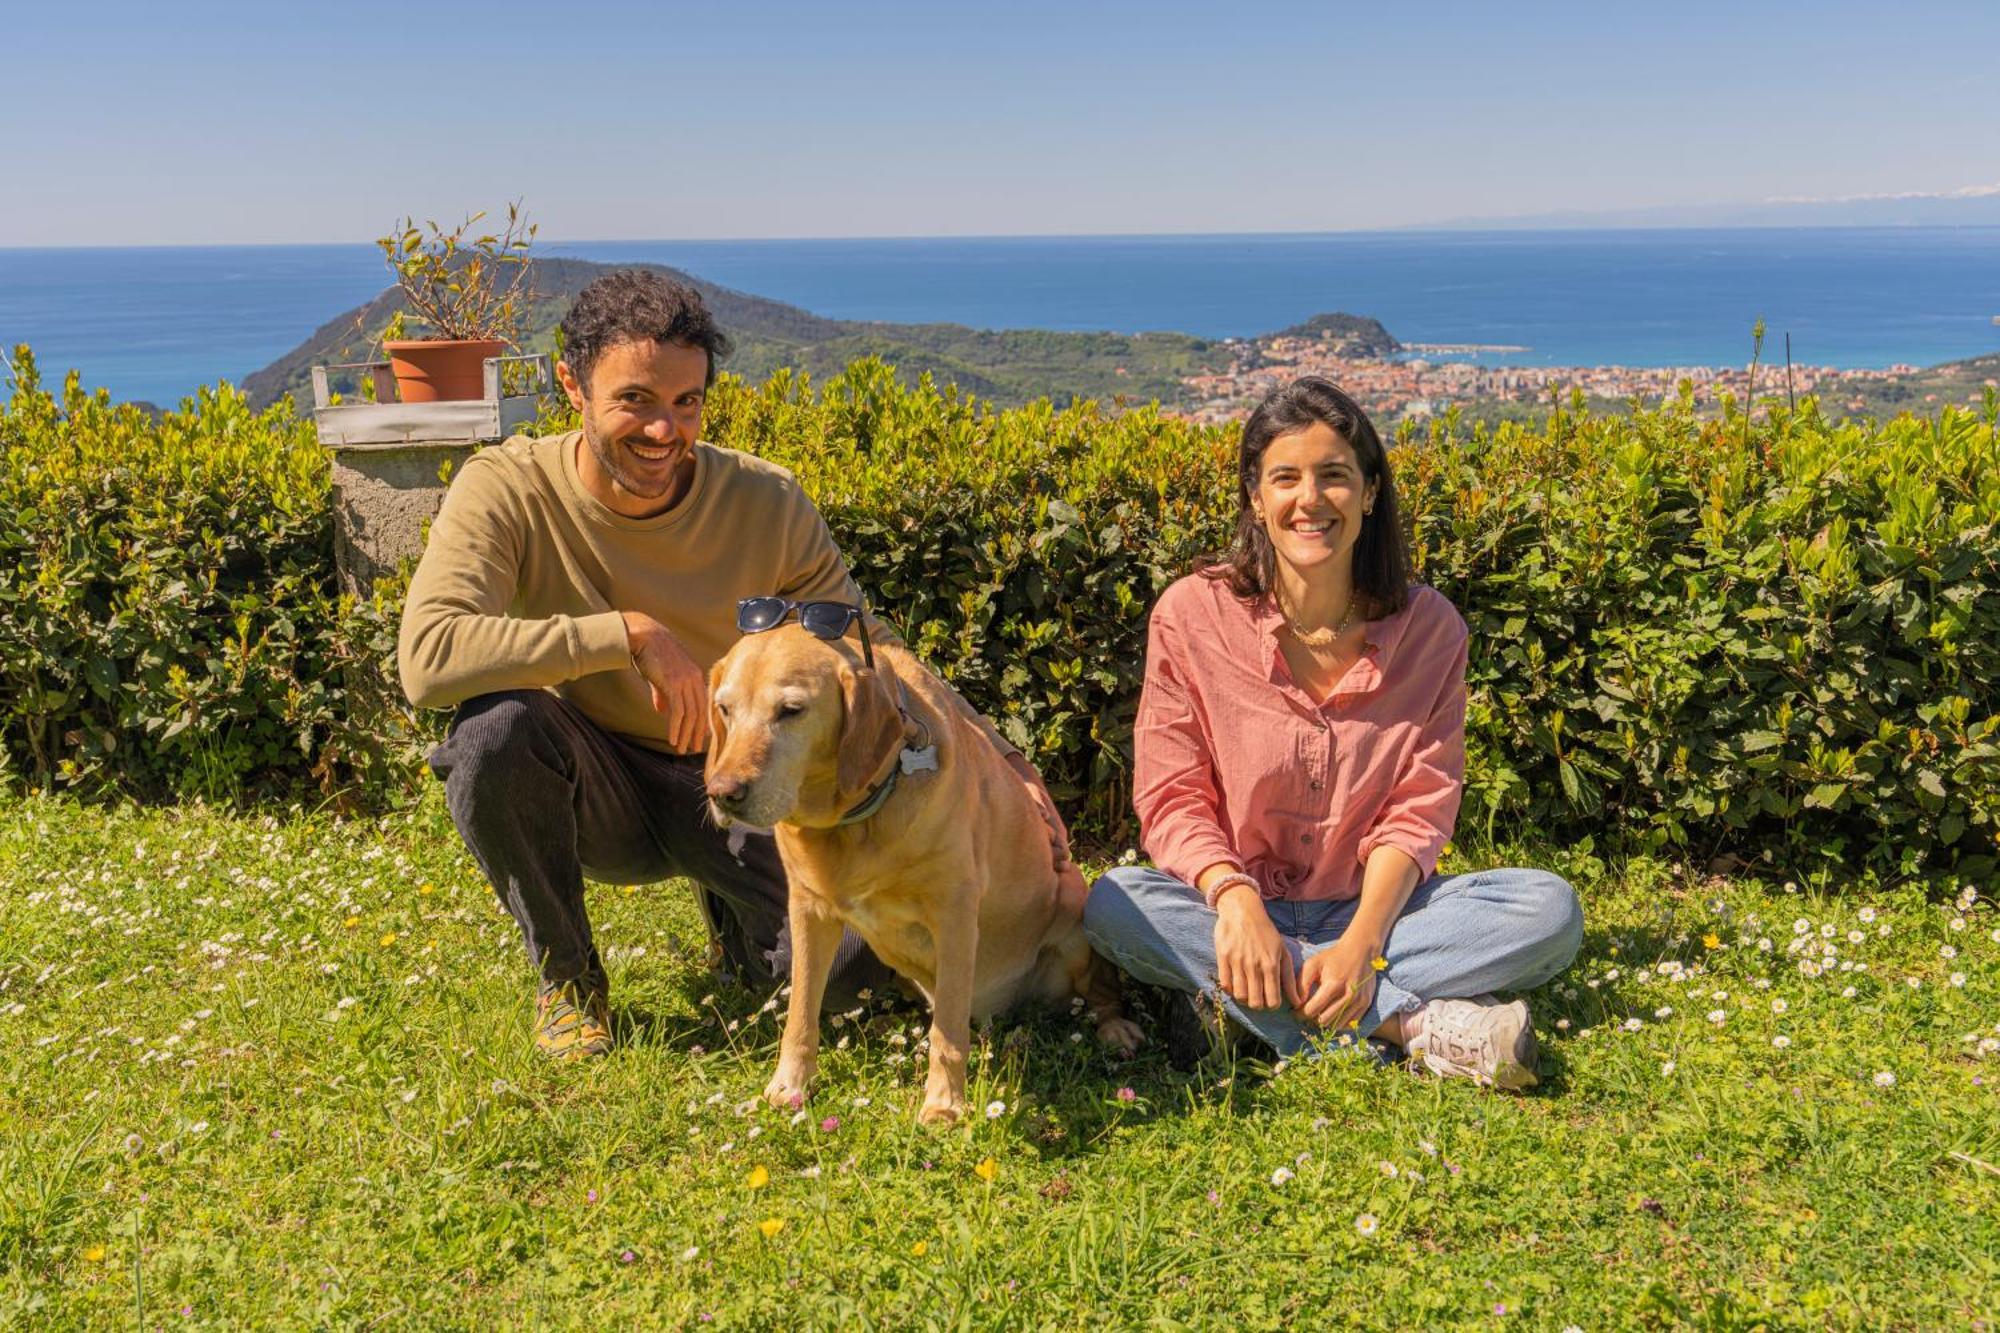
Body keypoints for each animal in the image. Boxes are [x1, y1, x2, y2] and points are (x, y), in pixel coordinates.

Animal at [704, 616, 1144, 1112]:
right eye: (724, 710)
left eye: (791, 710)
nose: (722, 793)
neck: (854, 819)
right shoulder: (808, 911)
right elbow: (800, 1011)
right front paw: (790, 1083)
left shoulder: (953, 916)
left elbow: (947, 1032)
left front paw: (944, 1103)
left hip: (1075, 914)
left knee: (1101, 992)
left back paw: (1115, 1027)